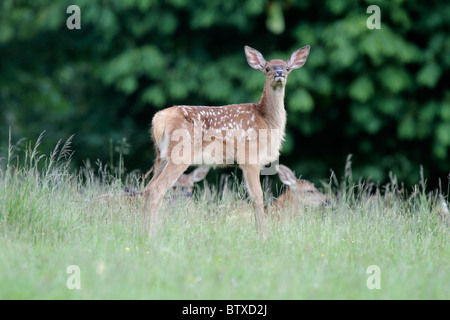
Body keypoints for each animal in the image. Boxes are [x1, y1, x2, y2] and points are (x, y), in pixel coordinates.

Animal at [143, 45, 310, 236]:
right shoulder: (250, 156)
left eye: (287, 67)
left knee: (147, 188)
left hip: (160, 156)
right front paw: (263, 235)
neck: (267, 121)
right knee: (157, 188)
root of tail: (159, 119)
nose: (280, 73)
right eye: (267, 68)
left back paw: (142, 232)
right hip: (181, 152)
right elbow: (257, 196)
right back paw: (153, 234)